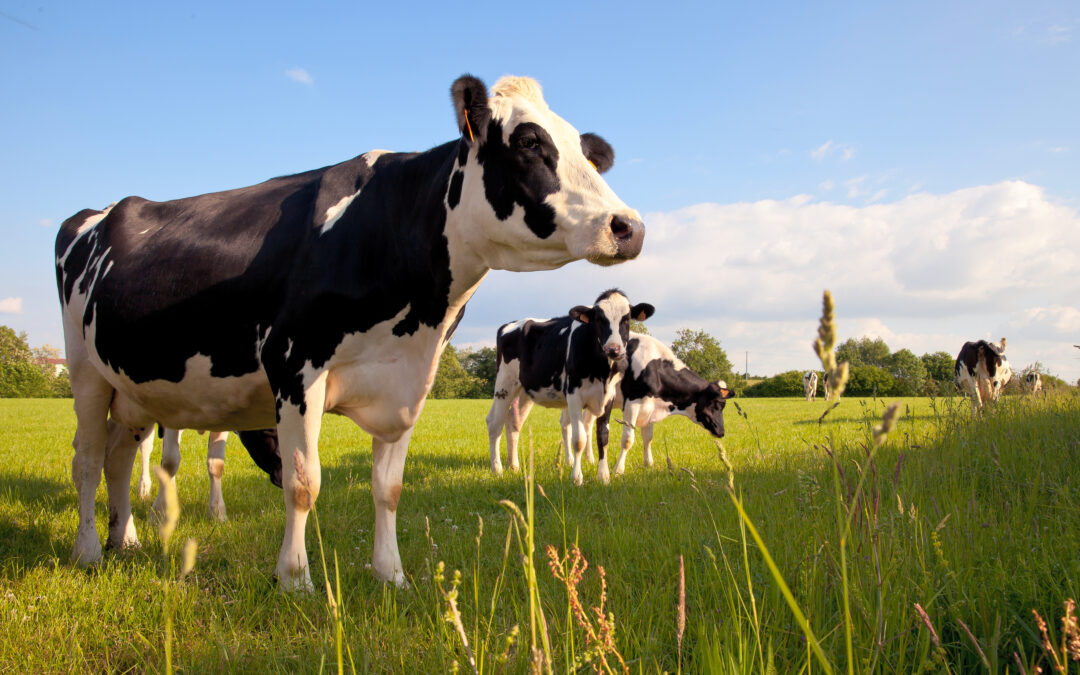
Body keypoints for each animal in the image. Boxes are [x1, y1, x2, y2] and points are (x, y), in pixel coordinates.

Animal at [486, 289, 652, 483]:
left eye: (626, 319)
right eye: (599, 319)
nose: (613, 349)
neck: (602, 370)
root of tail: (510, 324)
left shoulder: (608, 396)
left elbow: (603, 436)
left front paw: (603, 476)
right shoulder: (573, 395)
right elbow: (578, 439)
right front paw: (576, 478)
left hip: (524, 392)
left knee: (513, 422)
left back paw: (514, 467)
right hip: (504, 383)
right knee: (494, 422)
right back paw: (497, 469)